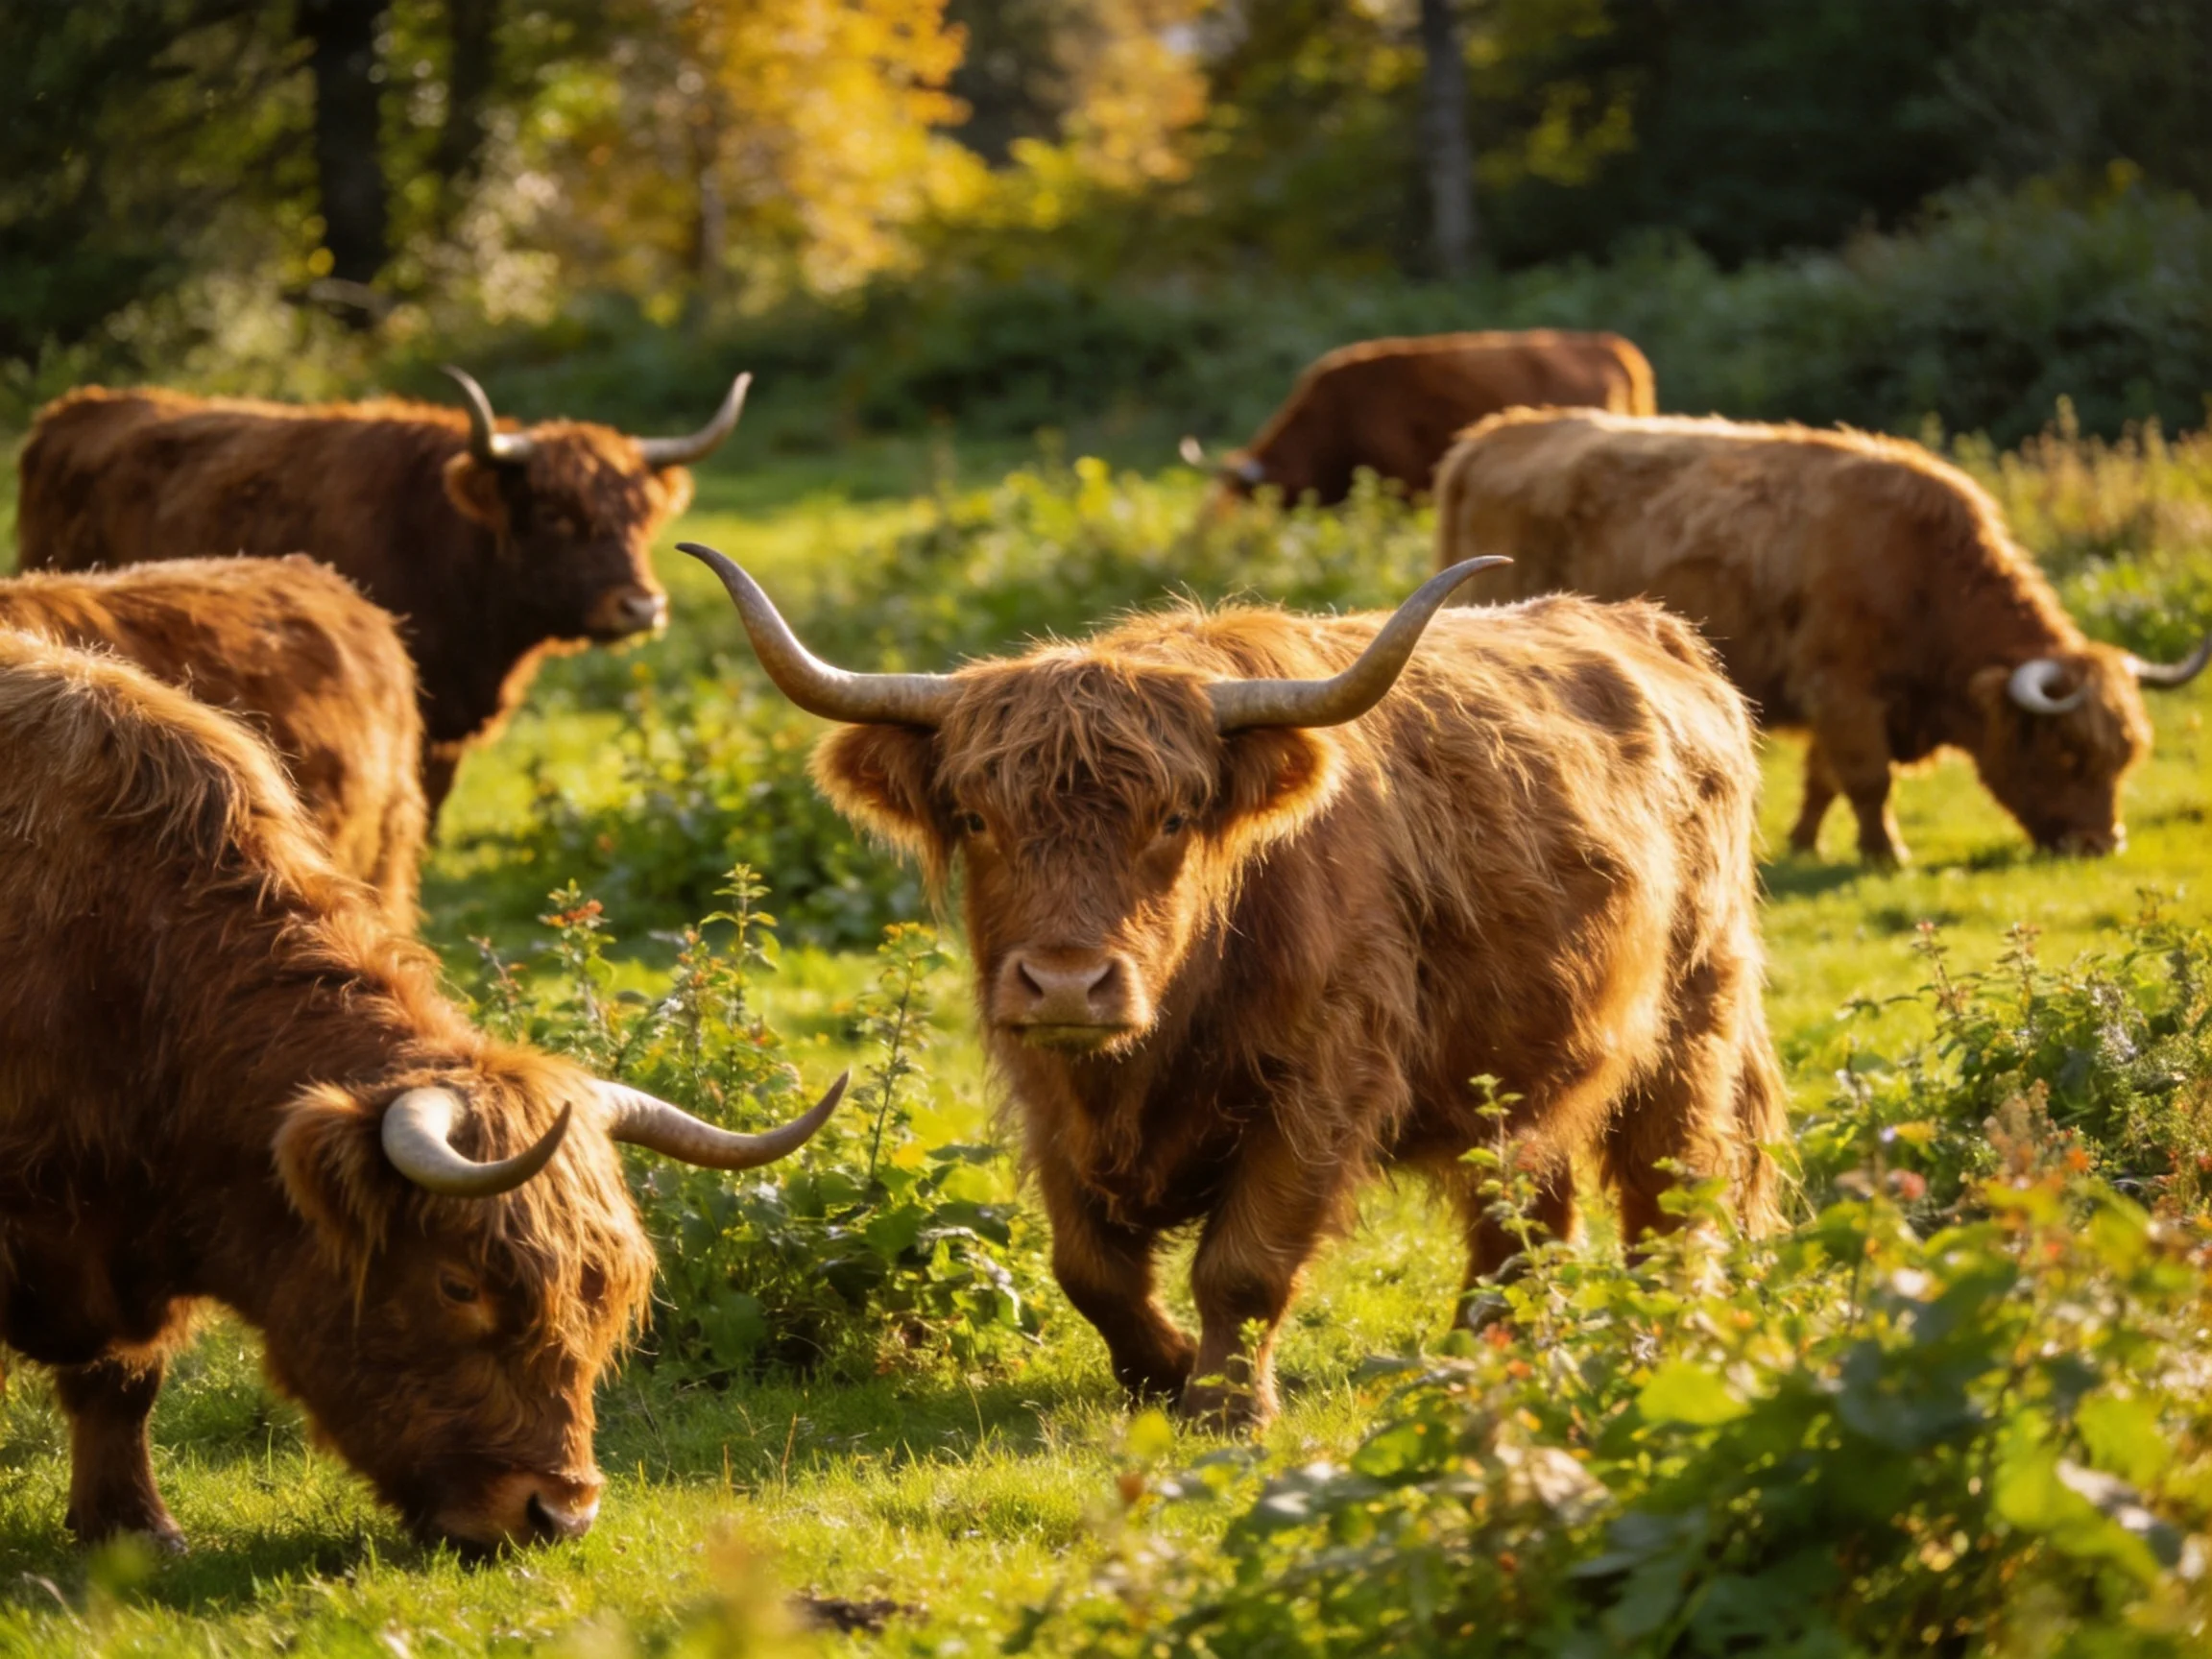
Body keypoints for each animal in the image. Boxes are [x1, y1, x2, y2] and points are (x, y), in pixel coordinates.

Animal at [682, 541, 1786, 1429]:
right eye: (977, 817)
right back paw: (1490, 1347)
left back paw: (1657, 1336)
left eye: (1173, 819)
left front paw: (1223, 1403)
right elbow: (1087, 1268)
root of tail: (1653, 630)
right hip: (1522, 1058)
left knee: (1672, 1185)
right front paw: (1161, 1370)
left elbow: (1245, 1264)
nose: (1069, 983)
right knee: (1525, 1203)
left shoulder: (1325, 1079)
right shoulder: (1045, 1090)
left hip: (1696, 1014)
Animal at [1434, 410, 2212, 863]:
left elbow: (1823, 780)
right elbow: (1866, 779)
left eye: (2126, 756)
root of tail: (1488, 437)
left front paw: (1806, 843)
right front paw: (1886, 852)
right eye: (2068, 752)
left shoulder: (1838, 702)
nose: (2102, 844)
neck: (1919, 570)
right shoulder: (1844, 690)